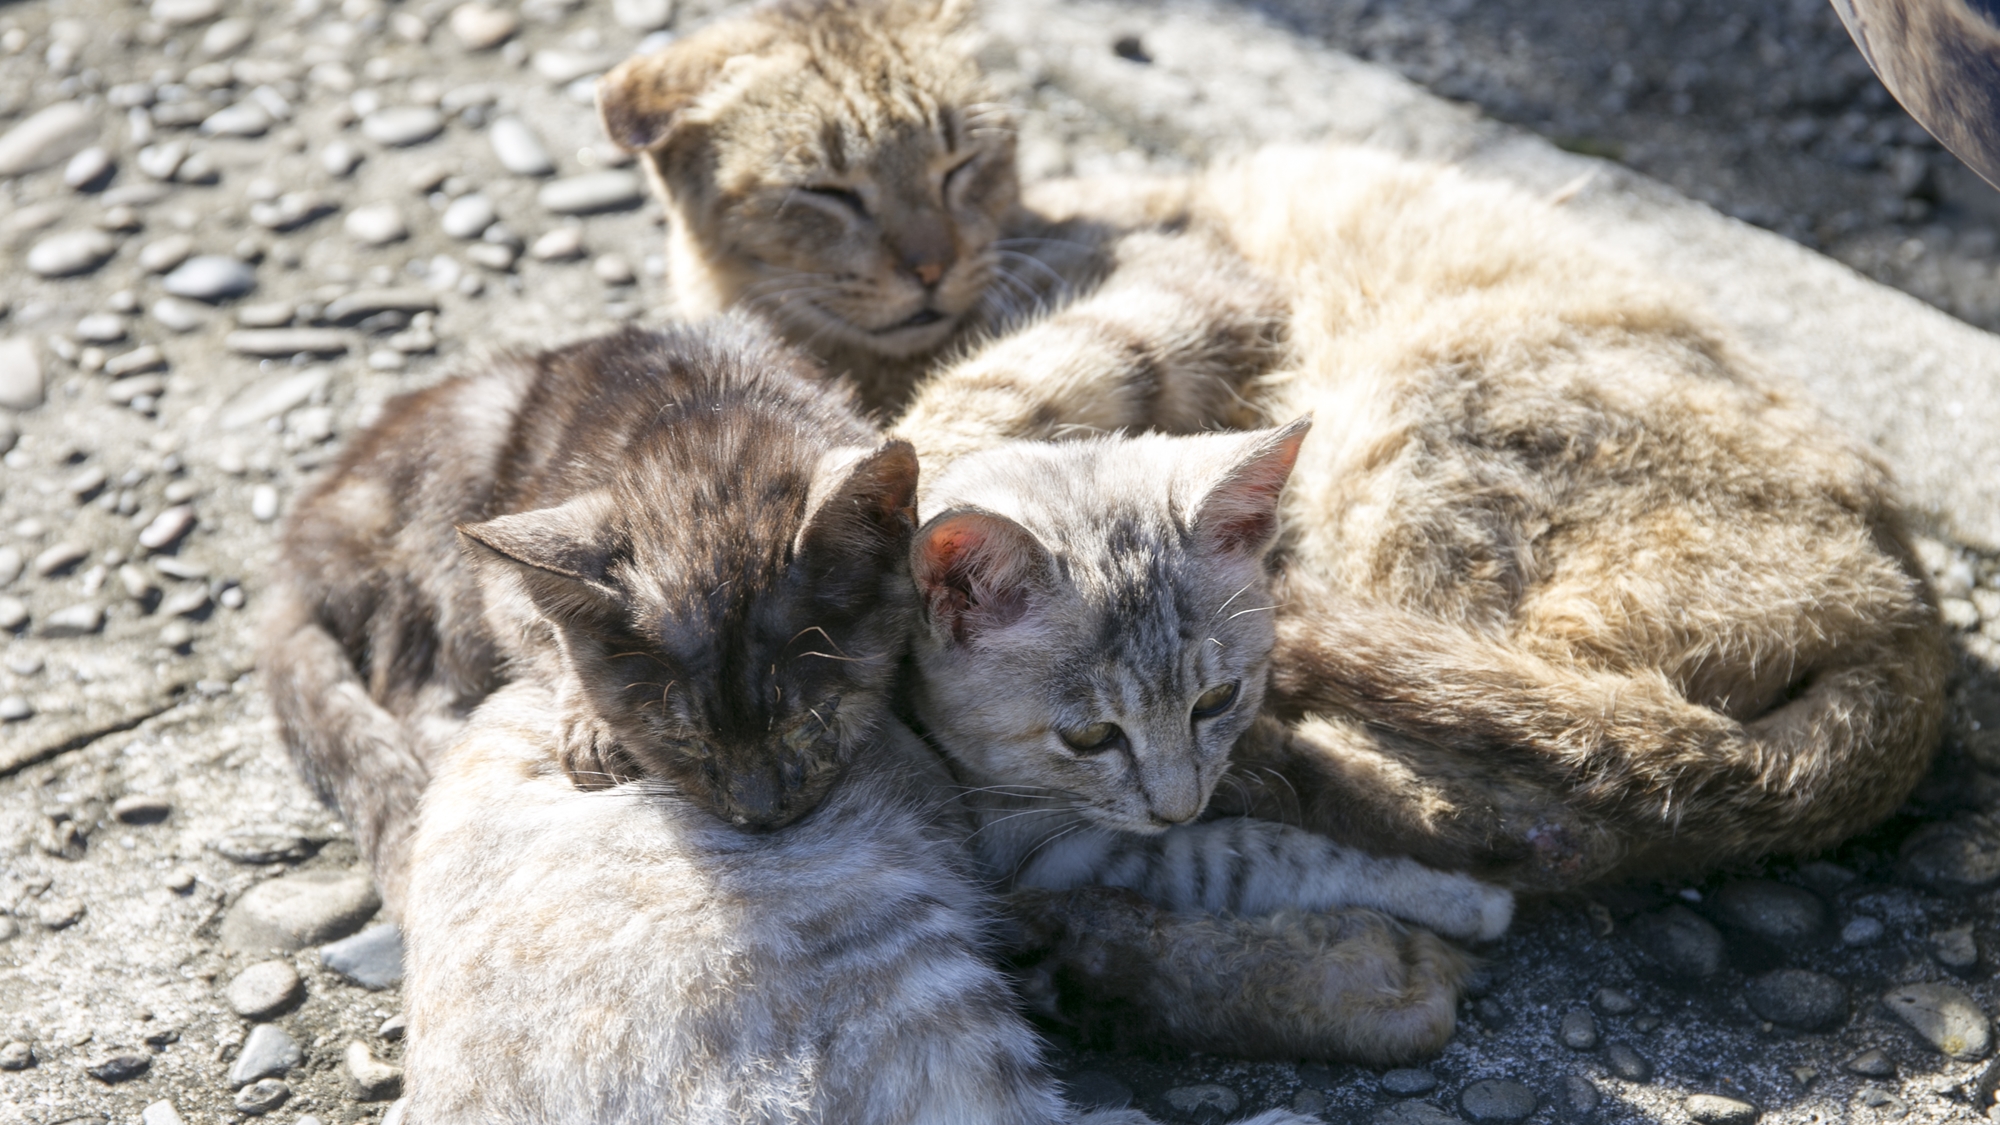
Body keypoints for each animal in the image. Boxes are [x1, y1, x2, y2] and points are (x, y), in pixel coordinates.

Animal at [262, 316, 916, 912]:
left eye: (808, 724)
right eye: (683, 741)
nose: (758, 817)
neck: (709, 428)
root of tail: (302, 536)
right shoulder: (503, 588)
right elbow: (545, 638)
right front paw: (591, 727)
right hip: (458, 472)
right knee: (410, 685)